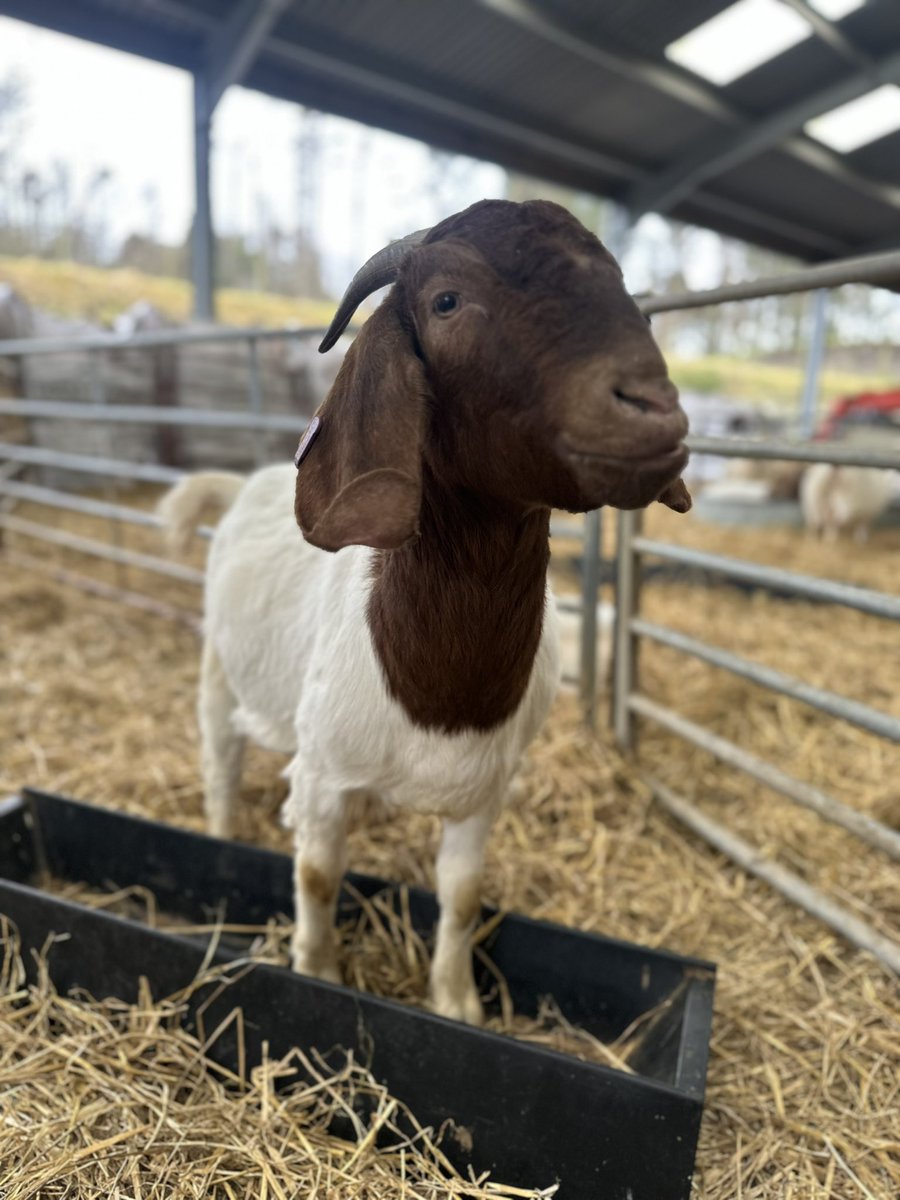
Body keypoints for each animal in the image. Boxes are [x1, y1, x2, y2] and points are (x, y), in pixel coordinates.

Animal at [159, 199, 691, 1024]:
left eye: (619, 284)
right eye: (446, 300)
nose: (653, 409)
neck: (435, 687)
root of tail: (247, 481)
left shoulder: (483, 796)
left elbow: (463, 895)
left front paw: (456, 1001)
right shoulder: (324, 778)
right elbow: (317, 876)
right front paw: (319, 972)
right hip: (220, 670)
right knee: (220, 762)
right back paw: (222, 829)